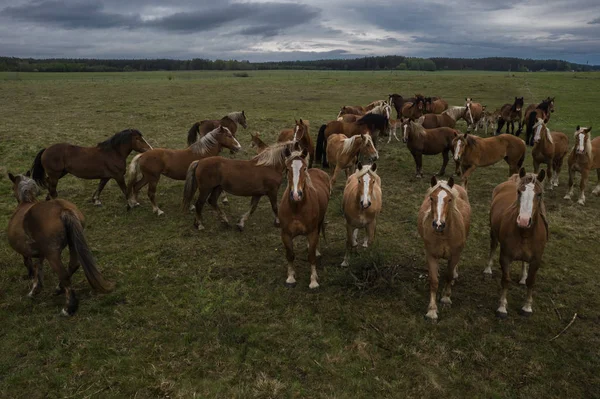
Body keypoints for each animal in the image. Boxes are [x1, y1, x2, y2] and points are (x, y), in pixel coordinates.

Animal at [6, 173, 113, 318]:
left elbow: (31, 266)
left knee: (63, 274)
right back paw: (59, 288)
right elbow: (38, 268)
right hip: (72, 244)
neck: (26, 202)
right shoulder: (40, 253)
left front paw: (32, 288)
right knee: (73, 265)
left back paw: (68, 307)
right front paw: (36, 289)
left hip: (53, 254)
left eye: (12, 187)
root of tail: (63, 210)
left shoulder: (28, 253)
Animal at [278, 150, 330, 290]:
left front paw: (313, 281)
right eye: (287, 169)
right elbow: (290, 255)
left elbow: (311, 257)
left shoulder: (312, 233)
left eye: (304, 168)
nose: (297, 195)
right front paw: (290, 278)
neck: (297, 208)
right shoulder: (285, 234)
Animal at [418, 178, 468, 322]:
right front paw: (432, 311)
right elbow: (434, 281)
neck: (444, 235)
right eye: (431, 198)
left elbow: (449, 275)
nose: (438, 224)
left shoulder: (455, 255)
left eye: (450, 199)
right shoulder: (431, 255)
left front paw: (446, 298)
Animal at [486, 169, 552, 318]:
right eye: (519, 192)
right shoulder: (505, 257)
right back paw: (488, 270)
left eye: (539, 194)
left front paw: (527, 307)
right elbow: (506, 280)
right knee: (493, 246)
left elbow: (531, 281)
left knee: (524, 263)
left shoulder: (536, 260)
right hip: (493, 233)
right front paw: (502, 308)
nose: (524, 220)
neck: (525, 234)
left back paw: (523, 277)